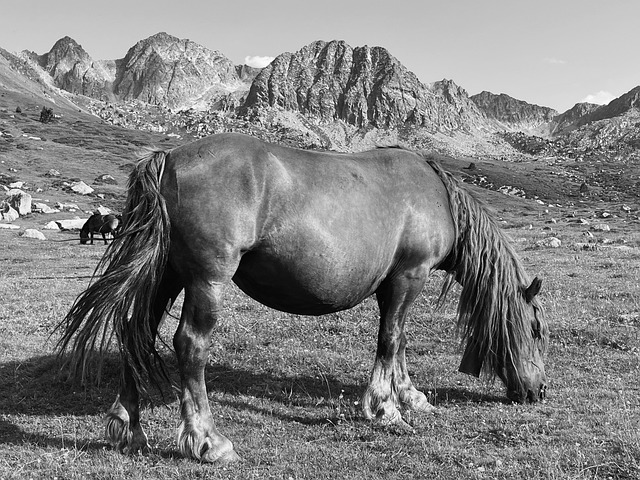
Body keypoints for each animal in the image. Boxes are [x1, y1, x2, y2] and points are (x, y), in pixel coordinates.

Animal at [56, 131, 552, 462]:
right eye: (535, 330)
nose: (539, 391)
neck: (436, 196)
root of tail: (168, 160)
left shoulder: (395, 285)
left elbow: (398, 342)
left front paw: (410, 396)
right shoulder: (409, 277)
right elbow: (391, 341)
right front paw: (385, 407)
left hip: (166, 275)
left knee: (134, 331)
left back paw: (128, 427)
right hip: (205, 280)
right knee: (190, 346)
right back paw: (208, 441)